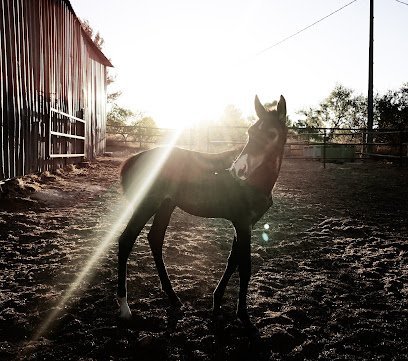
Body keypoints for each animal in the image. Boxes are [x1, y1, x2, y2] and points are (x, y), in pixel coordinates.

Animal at [116, 94, 288, 324]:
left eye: (271, 134)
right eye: (250, 132)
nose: (238, 169)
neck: (256, 182)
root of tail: (136, 158)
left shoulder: (245, 224)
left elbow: (233, 260)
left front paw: (217, 302)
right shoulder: (242, 223)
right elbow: (244, 266)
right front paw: (243, 315)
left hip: (166, 205)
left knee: (155, 239)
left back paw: (173, 297)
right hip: (146, 204)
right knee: (126, 241)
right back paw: (125, 308)